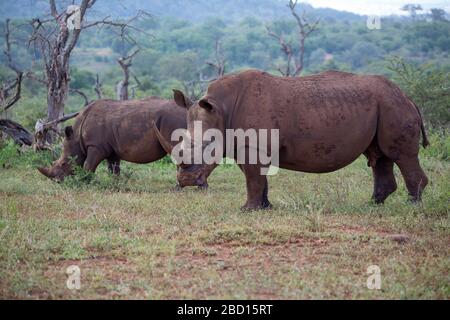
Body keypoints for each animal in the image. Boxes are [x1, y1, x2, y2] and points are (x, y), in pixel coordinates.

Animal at [38, 97, 206, 186]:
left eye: (64, 163)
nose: (58, 181)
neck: (77, 136)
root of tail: (189, 108)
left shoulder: (96, 146)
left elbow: (88, 165)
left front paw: (85, 182)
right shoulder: (111, 149)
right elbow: (113, 168)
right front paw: (116, 184)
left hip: (174, 120)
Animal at [154, 70, 428, 210]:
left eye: (207, 147)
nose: (186, 182)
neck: (221, 108)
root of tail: (409, 97)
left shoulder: (252, 145)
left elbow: (253, 178)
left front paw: (248, 210)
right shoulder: (246, 144)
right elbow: (259, 179)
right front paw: (265, 207)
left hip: (392, 106)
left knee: (401, 155)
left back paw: (411, 206)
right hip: (385, 106)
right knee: (381, 156)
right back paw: (372, 205)